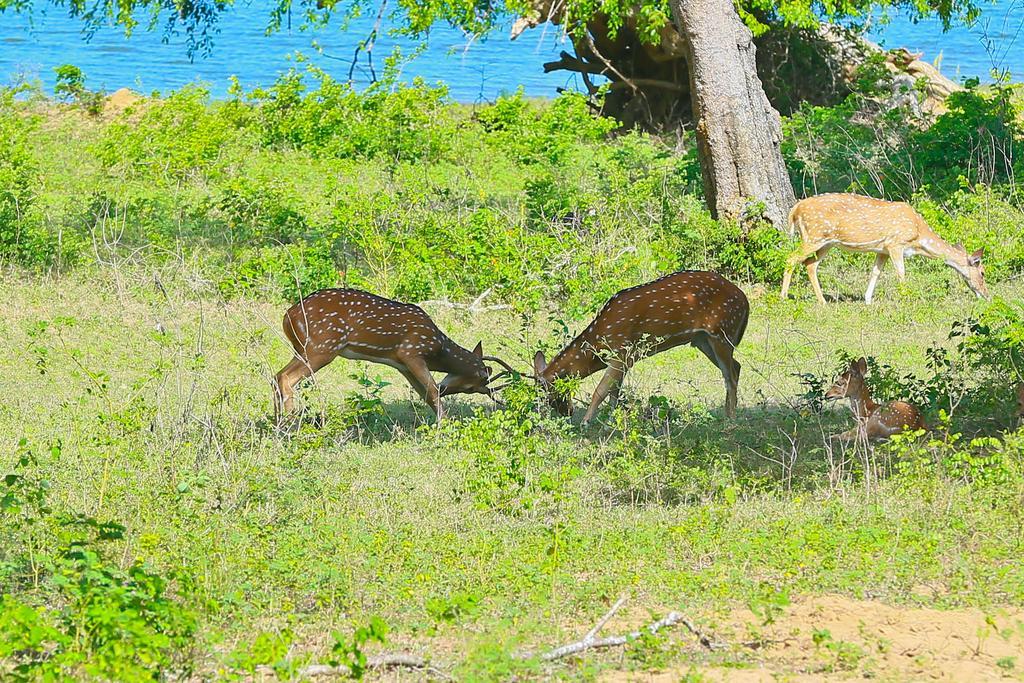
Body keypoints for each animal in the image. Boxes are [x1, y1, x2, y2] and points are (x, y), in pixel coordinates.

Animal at [272, 288, 516, 421]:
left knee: (276, 376)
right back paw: (291, 423)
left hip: (302, 348)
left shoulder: (402, 364)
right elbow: (431, 392)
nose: (445, 389)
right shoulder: (411, 351)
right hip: (322, 346)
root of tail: (288, 315)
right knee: (286, 378)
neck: (437, 349)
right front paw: (445, 426)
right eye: (473, 387)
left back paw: (278, 423)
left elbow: (426, 395)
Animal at [532, 270, 749, 421]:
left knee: (730, 375)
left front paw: (586, 422)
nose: (567, 412)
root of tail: (746, 302)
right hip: (702, 340)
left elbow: (601, 391)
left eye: (548, 394)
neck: (598, 342)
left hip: (722, 332)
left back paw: (731, 419)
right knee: (737, 366)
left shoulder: (622, 350)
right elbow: (614, 392)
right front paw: (610, 420)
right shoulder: (628, 359)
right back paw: (727, 413)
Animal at [778, 194, 987, 307]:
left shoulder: (882, 250)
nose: (986, 295)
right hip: (814, 236)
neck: (919, 236)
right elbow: (901, 272)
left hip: (826, 242)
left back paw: (822, 301)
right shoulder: (896, 243)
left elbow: (875, 272)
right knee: (791, 258)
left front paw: (867, 300)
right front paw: (906, 299)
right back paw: (783, 297)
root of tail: (795, 209)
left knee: (810, 264)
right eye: (983, 272)